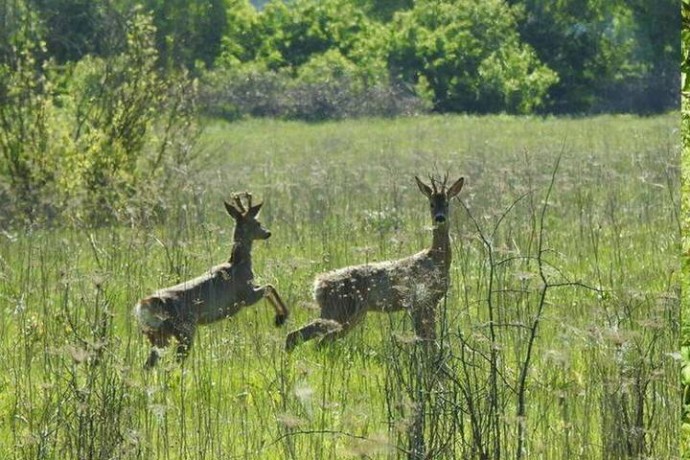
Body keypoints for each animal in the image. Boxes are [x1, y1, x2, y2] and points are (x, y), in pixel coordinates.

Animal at [134, 192, 288, 368]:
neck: (238, 263)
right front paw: (281, 317)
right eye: (257, 222)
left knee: (150, 363)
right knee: (177, 360)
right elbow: (270, 286)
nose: (268, 232)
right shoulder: (246, 296)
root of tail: (143, 305)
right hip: (184, 329)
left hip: (158, 334)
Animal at [284, 174, 462, 350]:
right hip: (339, 309)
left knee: (317, 340)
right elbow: (426, 339)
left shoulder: (430, 302)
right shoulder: (419, 300)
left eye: (447, 203)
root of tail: (318, 285)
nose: (440, 218)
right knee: (299, 336)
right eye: (431, 204)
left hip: (350, 314)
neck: (436, 259)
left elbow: (430, 338)